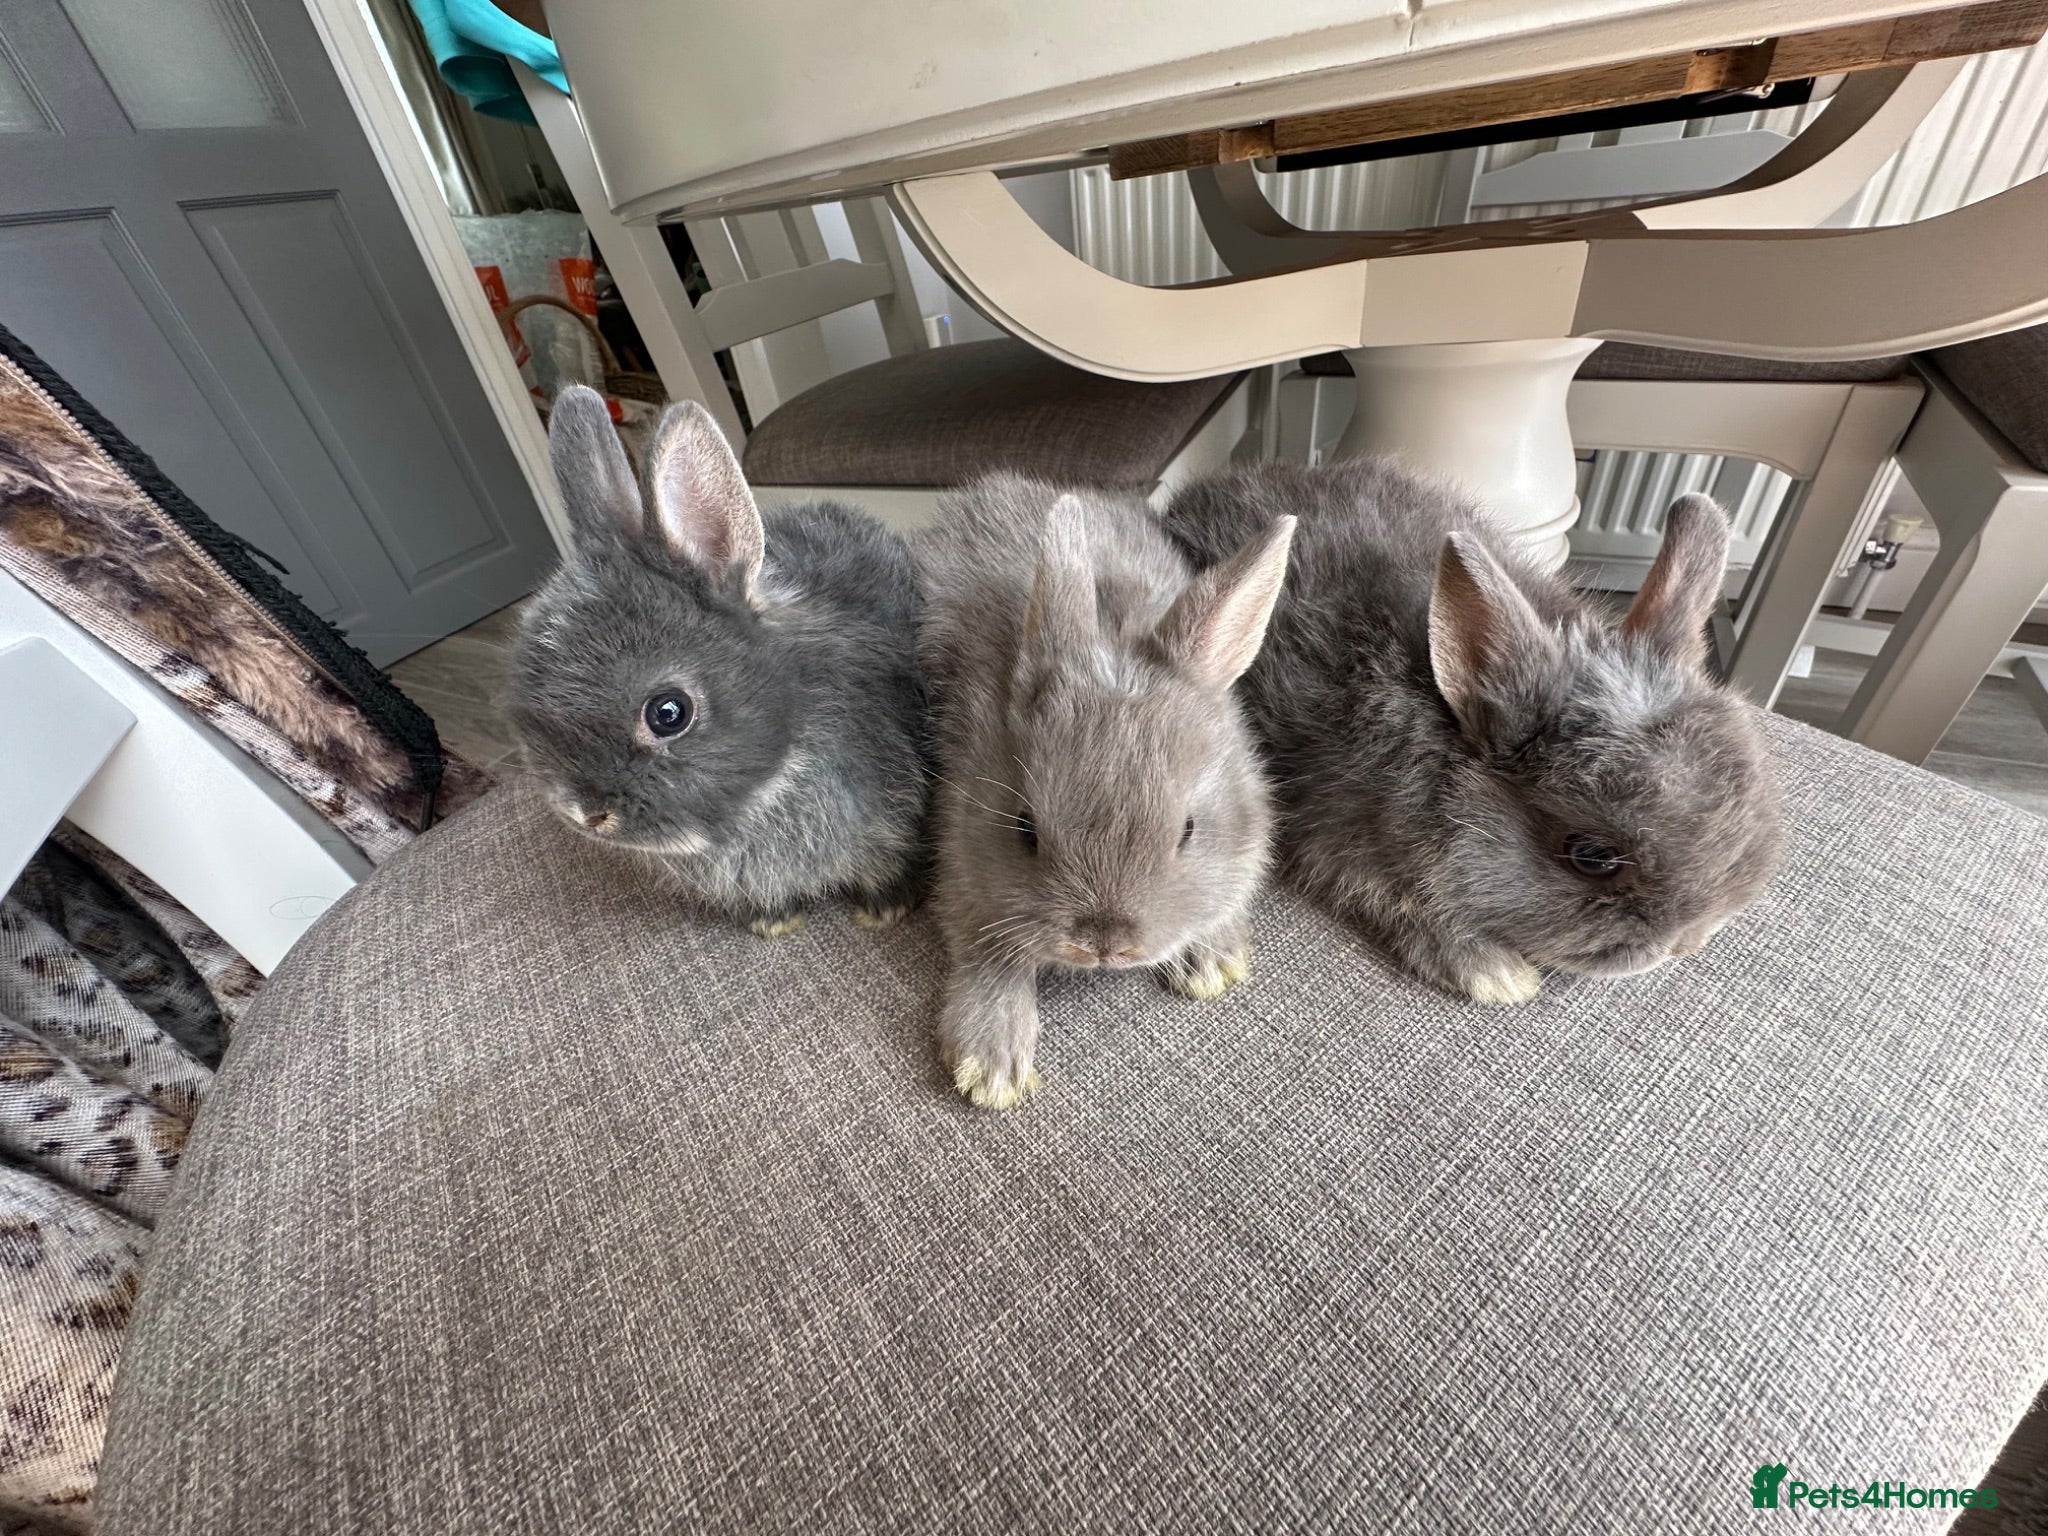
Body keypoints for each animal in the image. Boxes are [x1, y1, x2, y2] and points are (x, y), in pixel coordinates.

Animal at [915, 473, 1296, 1109]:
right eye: (1024, 829)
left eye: (1188, 830)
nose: (1104, 942)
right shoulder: (964, 864)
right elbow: (988, 955)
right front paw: (990, 1067)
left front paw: (1213, 963)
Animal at [1160, 459, 1785, 1006]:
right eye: (1591, 856)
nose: (1682, 943)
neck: (1443, 730)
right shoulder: (1343, 839)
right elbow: (1406, 902)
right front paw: (1496, 977)